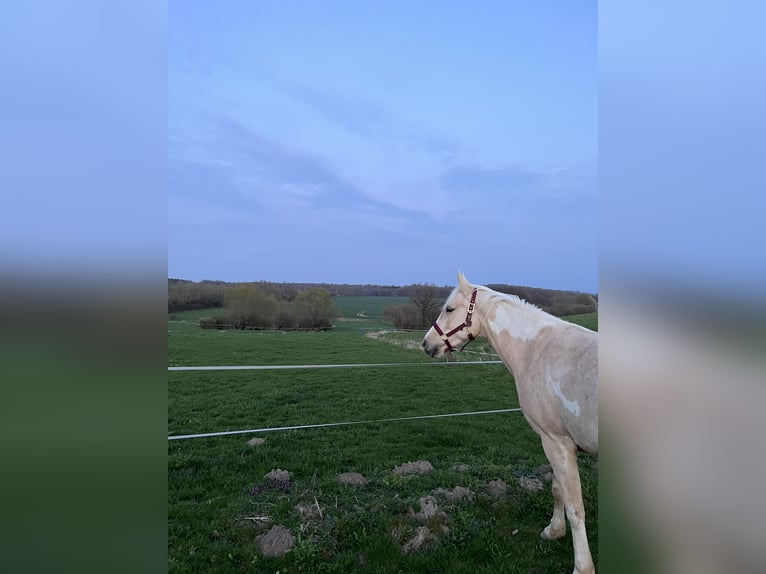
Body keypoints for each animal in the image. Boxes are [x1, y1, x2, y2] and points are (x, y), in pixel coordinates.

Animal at [422, 272, 598, 574]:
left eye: (449, 309)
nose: (426, 343)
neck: (537, 348)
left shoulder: (556, 442)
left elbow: (575, 507)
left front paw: (582, 566)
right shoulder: (557, 443)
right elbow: (558, 490)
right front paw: (554, 530)